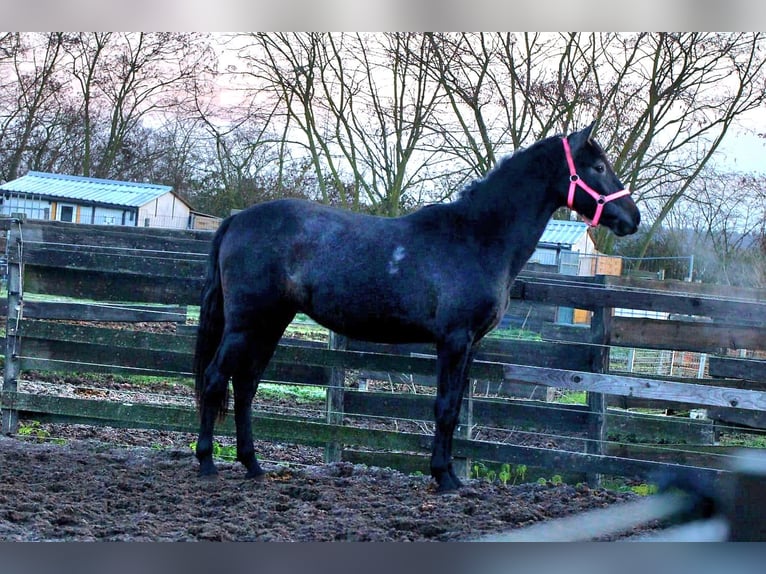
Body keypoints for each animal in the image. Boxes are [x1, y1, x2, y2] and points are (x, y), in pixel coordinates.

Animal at [193, 122, 641, 492]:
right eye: (598, 166)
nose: (632, 218)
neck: (476, 237)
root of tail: (236, 219)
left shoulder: (470, 344)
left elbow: (455, 408)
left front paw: (452, 476)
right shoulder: (454, 340)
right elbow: (443, 407)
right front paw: (442, 478)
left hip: (270, 323)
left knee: (245, 385)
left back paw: (253, 466)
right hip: (246, 324)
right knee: (216, 380)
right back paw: (207, 464)